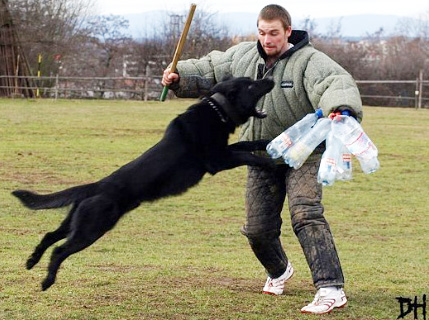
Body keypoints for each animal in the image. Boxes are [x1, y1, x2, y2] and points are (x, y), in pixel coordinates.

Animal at [14, 76, 274, 292]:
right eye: (252, 85)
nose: (270, 78)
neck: (218, 109)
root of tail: (96, 186)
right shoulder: (217, 160)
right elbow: (247, 155)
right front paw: (272, 162)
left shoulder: (224, 151)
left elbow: (247, 145)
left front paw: (268, 142)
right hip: (91, 229)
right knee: (59, 250)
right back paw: (47, 281)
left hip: (75, 223)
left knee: (49, 235)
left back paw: (31, 261)